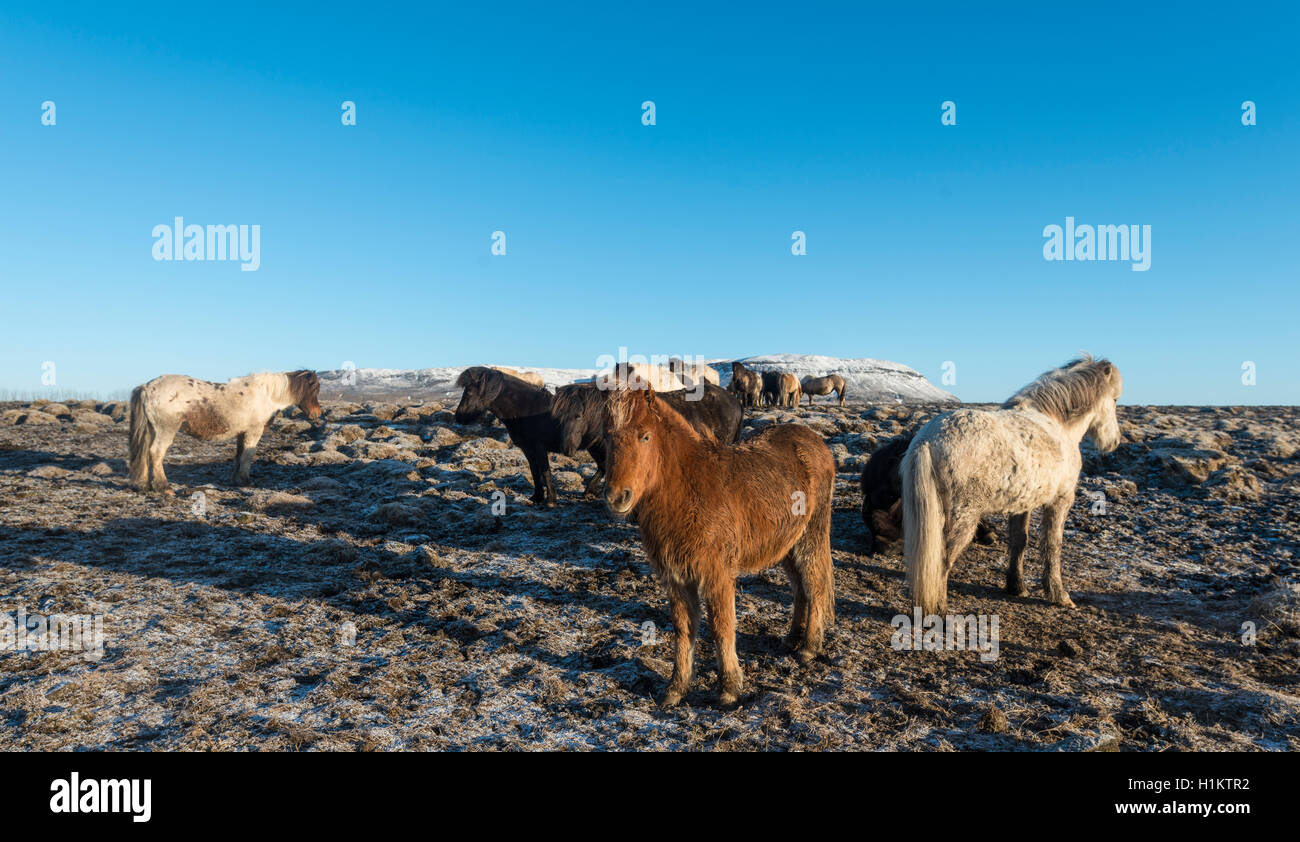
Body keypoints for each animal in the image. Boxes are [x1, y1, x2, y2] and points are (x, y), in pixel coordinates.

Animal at [128, 369, 321, 493]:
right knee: (156, 453)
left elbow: (240, 456)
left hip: (152, 430)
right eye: (315, 388)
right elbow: (248, 456)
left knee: (145, 453)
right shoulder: (254, 432)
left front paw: (236, 480)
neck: (266, 395)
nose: (317, 413)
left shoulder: (242, 433)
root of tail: (146, 387)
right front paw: (245, 481)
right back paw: (164, 488)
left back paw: (144, 485)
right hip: (166, 429)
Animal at [598, 392, 832, 706]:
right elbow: (683, 629)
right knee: (799, 588)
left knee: (814, 585)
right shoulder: (676, 578)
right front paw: (676, 688)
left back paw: (809, 648)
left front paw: (730, 688)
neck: (688, 489)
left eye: (644, 436)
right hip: (786, 545)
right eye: (607, 437)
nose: (616, 497)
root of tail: (814, 440)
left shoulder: (717, 575)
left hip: (811, 536)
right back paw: (792, 638)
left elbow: (722, 626)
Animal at [899, 350, 1123, 615]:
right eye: (1115, 400)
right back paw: (940, 612)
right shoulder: (1060, 501)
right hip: (963, 516)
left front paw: (1016, 587)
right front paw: (1059, 595)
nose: (1114, 442)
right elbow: (1052, 546)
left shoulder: (1021, 505)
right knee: (942, 562)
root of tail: (928, 441)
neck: (1057, 424)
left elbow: (1019, 542)